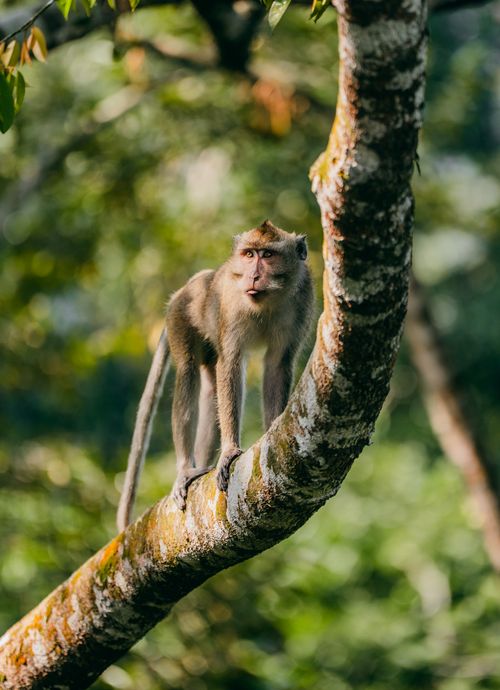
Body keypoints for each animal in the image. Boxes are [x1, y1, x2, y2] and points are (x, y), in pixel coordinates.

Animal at [117, 220, 313, 532]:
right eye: (249, 254)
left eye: (268, 255)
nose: (253, 276)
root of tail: (190, 284)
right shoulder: (230, 305)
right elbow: (231, 363)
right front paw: (230, 451)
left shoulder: (303, 298)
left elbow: (277, 364)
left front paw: (273, 430)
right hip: (180, 317)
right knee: (188, 374)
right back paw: (186, 468)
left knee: (211, 390)